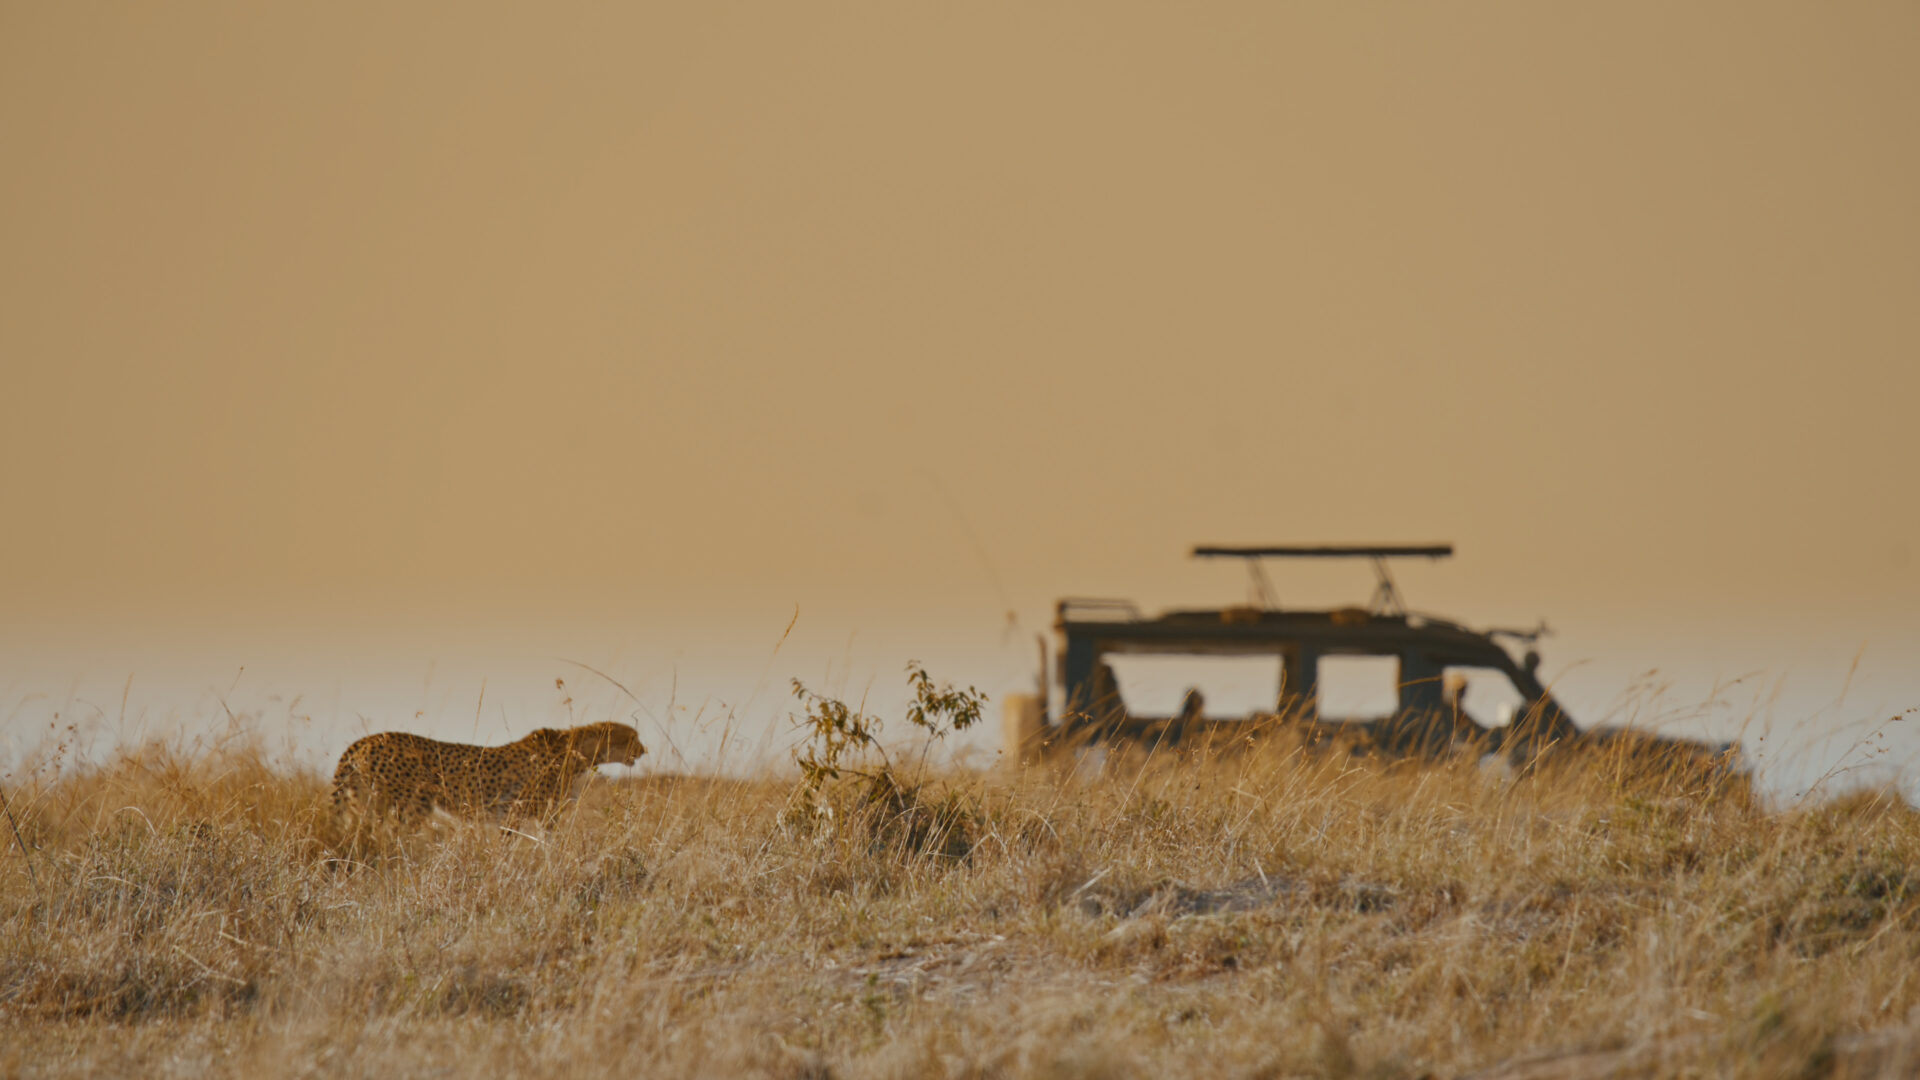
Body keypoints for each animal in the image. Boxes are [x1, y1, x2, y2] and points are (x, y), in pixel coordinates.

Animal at [329, 721, 645, 826]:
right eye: (632, 737)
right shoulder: (517, 811)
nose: (644, 749)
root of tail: (367, 739)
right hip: (410, 805)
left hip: (365, 804)